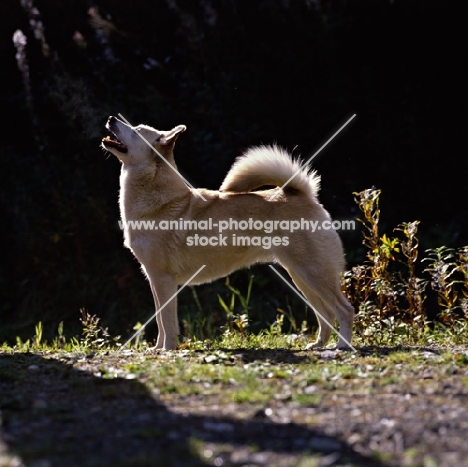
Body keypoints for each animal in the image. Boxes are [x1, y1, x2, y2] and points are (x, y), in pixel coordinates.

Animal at [101, 117, 352, 352]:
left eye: (135, 130)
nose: (112, 118)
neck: (157, 201)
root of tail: (304, 194)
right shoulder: (154, 279)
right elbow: (161, 321)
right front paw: (158, 349)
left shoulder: (163, 278)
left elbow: (167, 321)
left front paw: (168, 349)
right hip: (301, 277)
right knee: (326, 313)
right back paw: (318, 345)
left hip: (313, 273)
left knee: (344, 309)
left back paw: (342, 345)